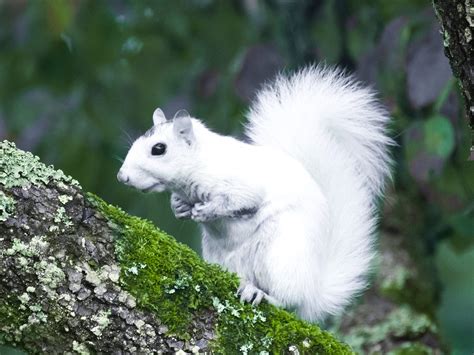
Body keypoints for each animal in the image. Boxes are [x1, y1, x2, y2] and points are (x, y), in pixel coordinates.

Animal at [117, 66, 392, 322]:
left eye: (158, 149)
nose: (122, 177)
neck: (201, 161)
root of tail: (313, 290)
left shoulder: (241, 183)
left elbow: (241, 201)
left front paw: (208, 210)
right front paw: (179, 207)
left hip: (281, 255)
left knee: (288, 300)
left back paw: (263, 295)